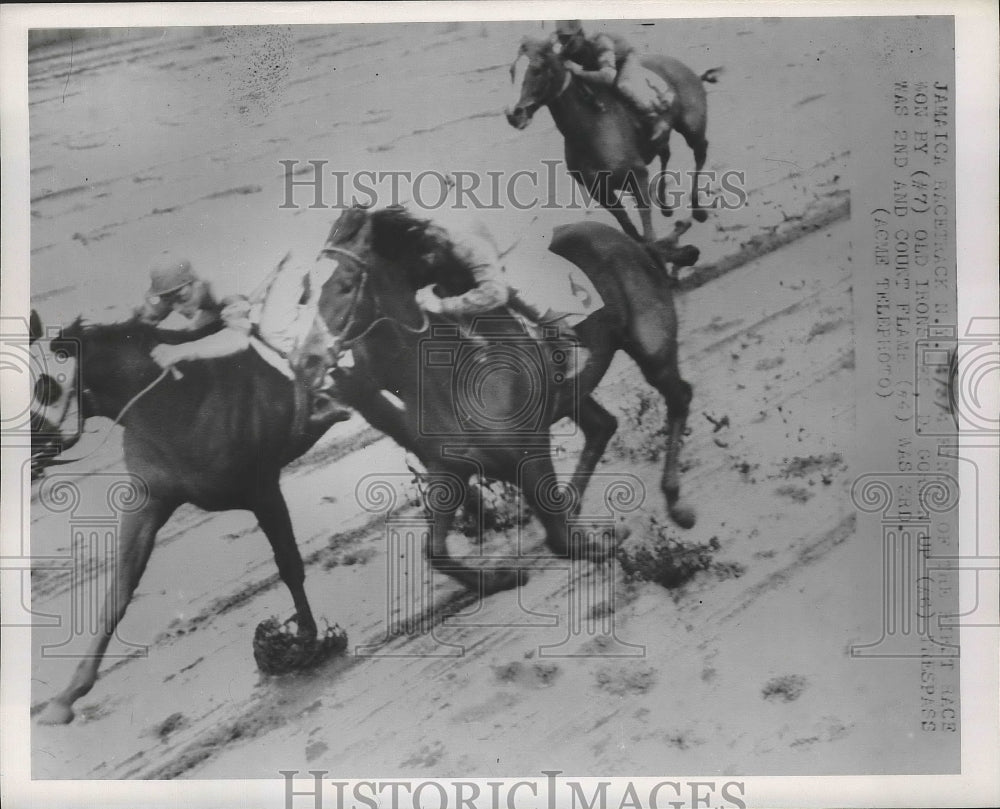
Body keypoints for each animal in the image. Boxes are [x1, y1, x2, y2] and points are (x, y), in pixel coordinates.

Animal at [314, 205, 696, 596]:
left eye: (344, 285)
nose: (317, 352)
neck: (445, 373)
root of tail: (630, 241)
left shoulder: (530, 452)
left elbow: (560, 540)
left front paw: (604, 540)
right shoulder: (450, 469)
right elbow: (434, 550)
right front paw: (505, 577)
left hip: (651, 345)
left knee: (679, 396)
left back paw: (676, 502)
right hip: (574, 393)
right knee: (603, 427)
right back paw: (576, 505)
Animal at [508, 38, 720, 240]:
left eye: (538, 69)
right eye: (513, 72)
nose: (514, 115)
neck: (589, 130)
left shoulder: (637, 175)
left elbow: (648, 232)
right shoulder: (599, 191)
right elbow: (630, 229)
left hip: (692, 127)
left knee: (700, 152)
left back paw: (697, 209)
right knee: (665, 152)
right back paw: (665, 206)